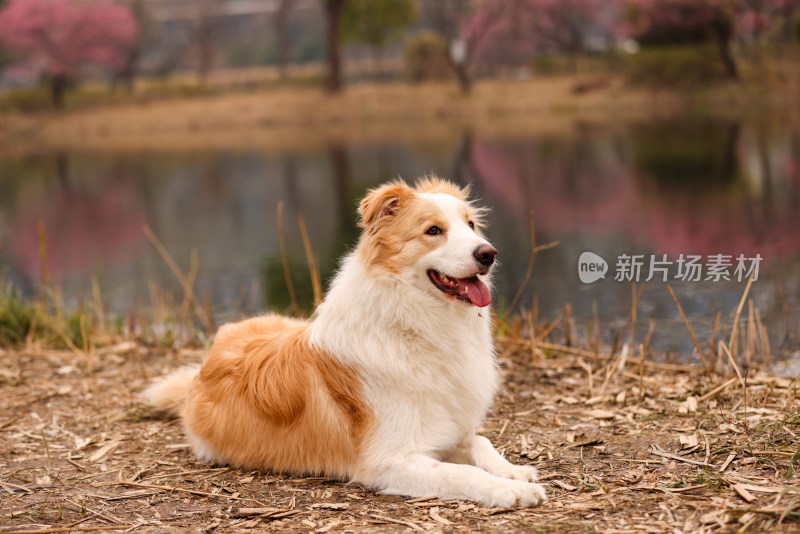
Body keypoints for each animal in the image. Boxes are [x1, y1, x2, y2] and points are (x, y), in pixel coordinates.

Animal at [142, 178, 544, 508]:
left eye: (471, 225)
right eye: (433, 230)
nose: (488, 253)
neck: (410, 320)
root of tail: (204, 366)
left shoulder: (444, 429)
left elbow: (479, 441)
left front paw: (512, 470)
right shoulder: (387, 461)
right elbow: (461, 472)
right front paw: (510, 490)